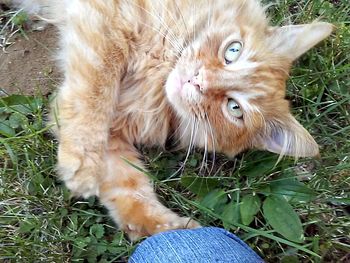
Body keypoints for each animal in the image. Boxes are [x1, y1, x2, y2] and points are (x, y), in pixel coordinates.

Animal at [17, 0, 332, 241]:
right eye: (233, 50)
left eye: (234, 109)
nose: (198, 81)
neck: (156, 76)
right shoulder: (108, 22)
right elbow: (95, 89)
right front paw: (80, 162)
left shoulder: (116, 136)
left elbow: (130, 189)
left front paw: (168, 229)